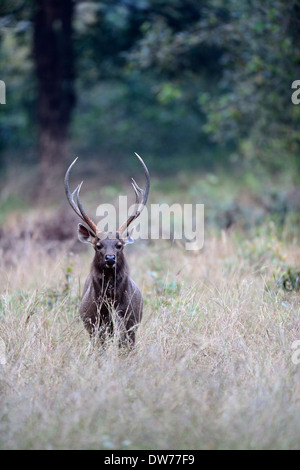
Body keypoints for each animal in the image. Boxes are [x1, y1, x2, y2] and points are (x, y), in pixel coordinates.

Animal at [65, 154, 150, 348]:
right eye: (98, 245)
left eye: (119, 245)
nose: (110, 258)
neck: (110, 304)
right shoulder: (95, 325)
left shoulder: (129, 325)